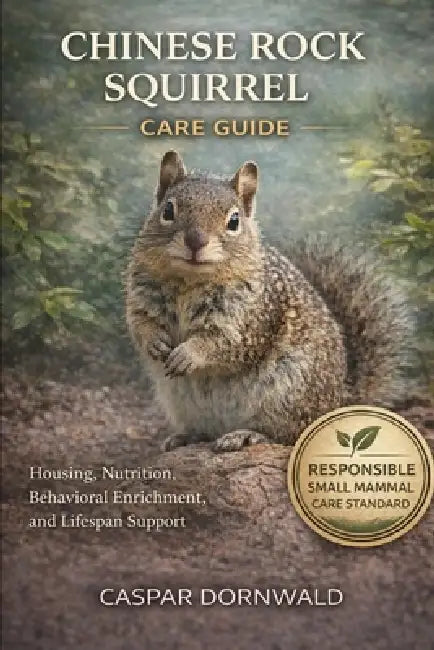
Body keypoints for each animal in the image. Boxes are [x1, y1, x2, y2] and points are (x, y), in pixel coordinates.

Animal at [126, 150, 411, 452]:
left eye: (234, 221)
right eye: (167, 211)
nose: (195, 241)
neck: (188, 282)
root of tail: (336, 402)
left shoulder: (253, 318)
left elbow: (223, 344)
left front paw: (188, 354)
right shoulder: (141, 297)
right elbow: (140, 323)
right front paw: (154, 342)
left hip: (287, 396)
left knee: (287, 435)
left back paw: (246, 435)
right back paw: (186, 436)